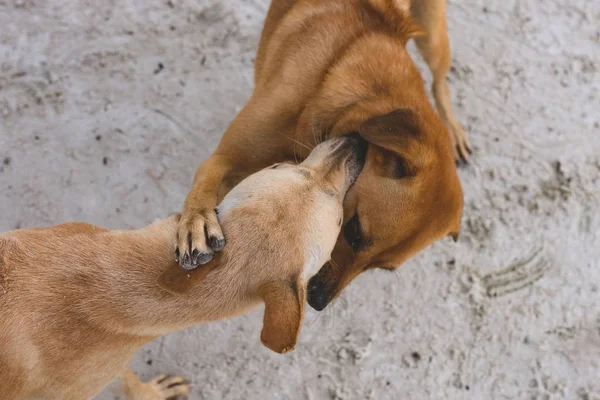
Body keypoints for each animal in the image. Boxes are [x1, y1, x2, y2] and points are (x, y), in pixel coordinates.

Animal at [173, 0, 464, 310]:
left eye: (382, 268)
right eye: (354, 231)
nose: (318, 301)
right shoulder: (226, 159)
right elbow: (207, 182)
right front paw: (196, 220)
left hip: (432, 35)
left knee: (440, 81)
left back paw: (455, 130)